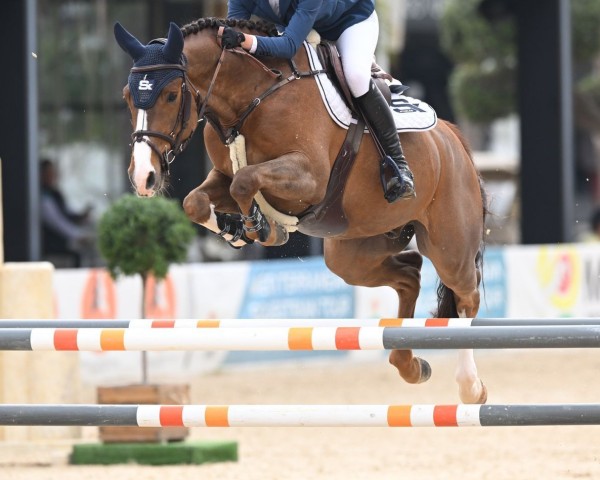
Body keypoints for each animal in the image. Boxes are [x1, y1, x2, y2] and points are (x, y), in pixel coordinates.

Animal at [115, 18, 490, 404]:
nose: (143, 177)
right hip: (352, 250)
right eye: (128, 97)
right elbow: (198, 201)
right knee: (410, 274)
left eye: (171, 95)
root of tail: (454, 138)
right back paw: (410, 366)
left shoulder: (309, 179)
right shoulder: (223, 175)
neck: (249, 99)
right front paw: (238, 231)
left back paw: (471, 387)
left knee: (466, 296)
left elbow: (245, 182)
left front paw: (262, 228)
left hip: (449, 247)